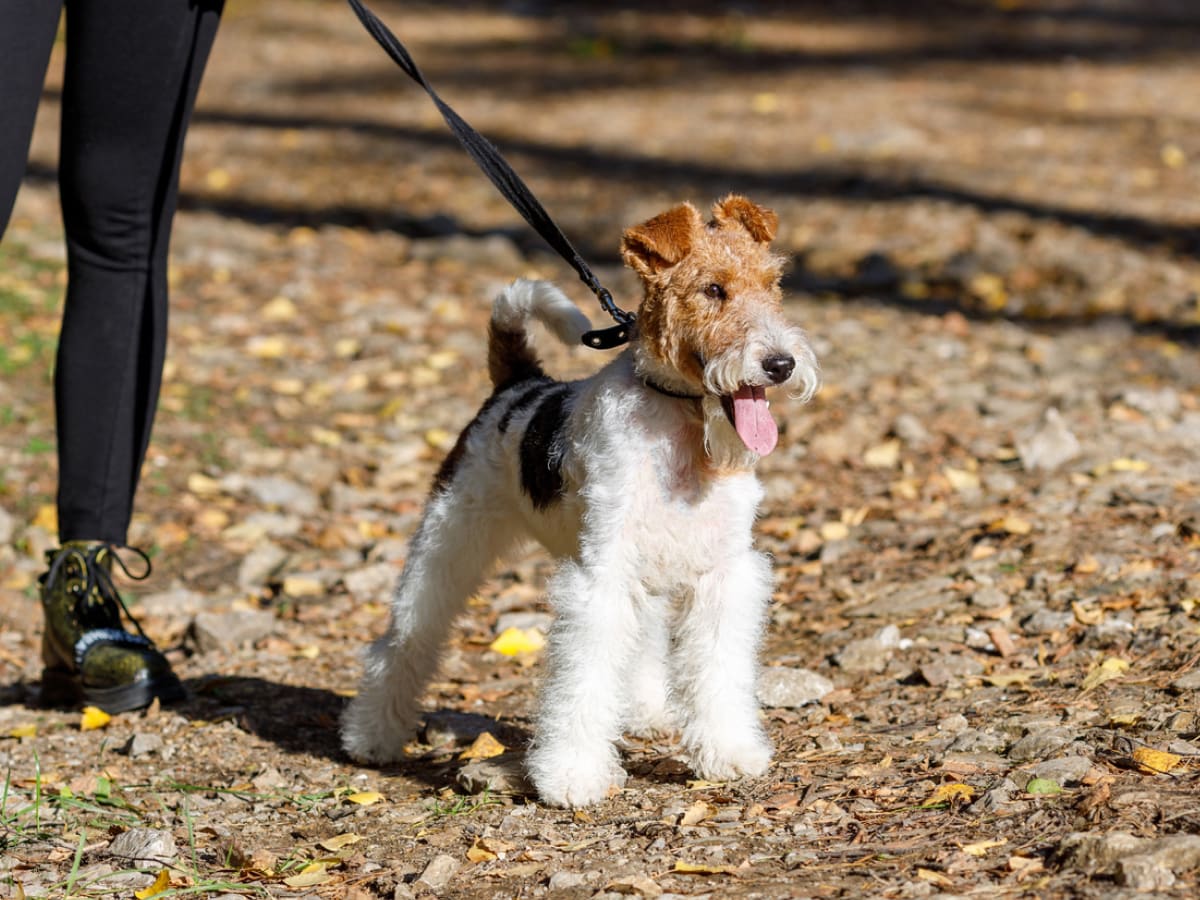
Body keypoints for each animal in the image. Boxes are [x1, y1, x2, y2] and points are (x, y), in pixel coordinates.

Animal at [343, 194, 820, 806]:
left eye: (773, 283)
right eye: (713, 289)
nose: (781, 364)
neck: (683, 420)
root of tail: (518, 384)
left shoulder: (722, 572)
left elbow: (717, 668)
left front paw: (729, 752)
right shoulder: (601, 578)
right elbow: (583, 677)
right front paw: (572, 776)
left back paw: (644, 712)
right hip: (448, 541)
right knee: (405, 639)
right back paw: (371, 736)